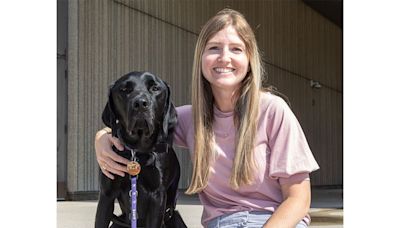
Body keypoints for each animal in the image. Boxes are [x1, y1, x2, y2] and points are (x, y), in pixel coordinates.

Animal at [95, 71, 188, 228]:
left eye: (155, 88)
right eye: (124, 89)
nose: (140, 104)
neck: (137, 150)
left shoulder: (157, 196)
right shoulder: (107, 194)